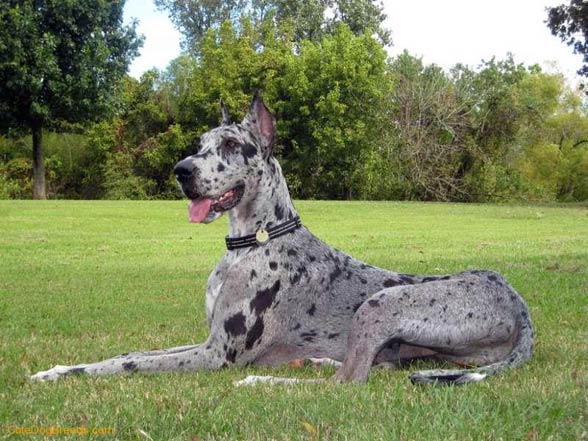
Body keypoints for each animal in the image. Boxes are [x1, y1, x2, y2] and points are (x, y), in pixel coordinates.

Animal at [31, 93, 532, 384]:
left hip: (380, 304)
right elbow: (134, 351)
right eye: (200, 143)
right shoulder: (206, 339)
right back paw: (313, 362)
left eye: (232, 146)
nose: (181, 171)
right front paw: (61, 365)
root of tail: (518, 301)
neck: (252, 241)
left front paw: (62, 372)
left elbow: (129, 363)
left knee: (349, 383)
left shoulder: (217, 354)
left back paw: (267, 379)